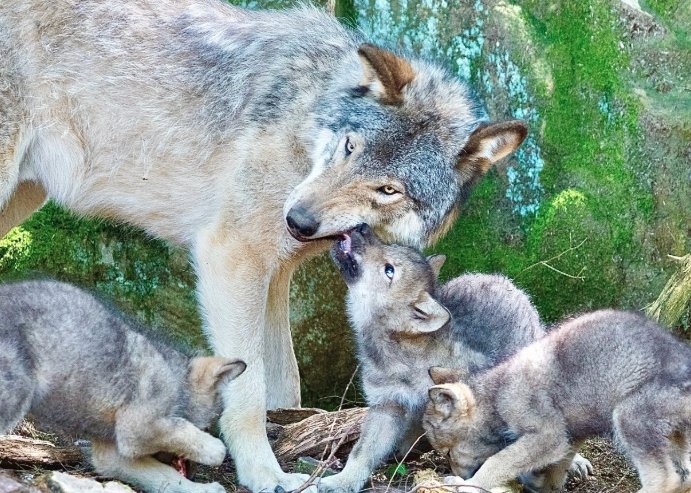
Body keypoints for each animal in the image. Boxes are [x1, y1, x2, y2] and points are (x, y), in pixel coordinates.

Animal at [0, 280, 247, 493]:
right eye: (205, 427)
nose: (194, 474)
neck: (178, 381)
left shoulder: (112, 453)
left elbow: (164, 476)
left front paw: (202, 489)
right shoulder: (136, 430)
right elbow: (185, 434)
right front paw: (216, 449)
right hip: (15, 396)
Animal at [323, 225, 591, 493]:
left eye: (390, 270)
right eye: (391, 246)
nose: (362, 227)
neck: (401, 356)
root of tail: (498, 278)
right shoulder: (386, 406)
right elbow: (362, 451)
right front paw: (342, 481)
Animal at [423, 309, 691, 493]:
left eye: (448, 452)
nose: (454, 471)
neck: (497, 394)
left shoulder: (548, 434)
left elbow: (497, 461)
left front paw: (467, 485)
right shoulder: (571, 435)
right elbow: (555, 470)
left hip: (630, 419)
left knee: (666, 479)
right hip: (676, 437)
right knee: (685, 477)